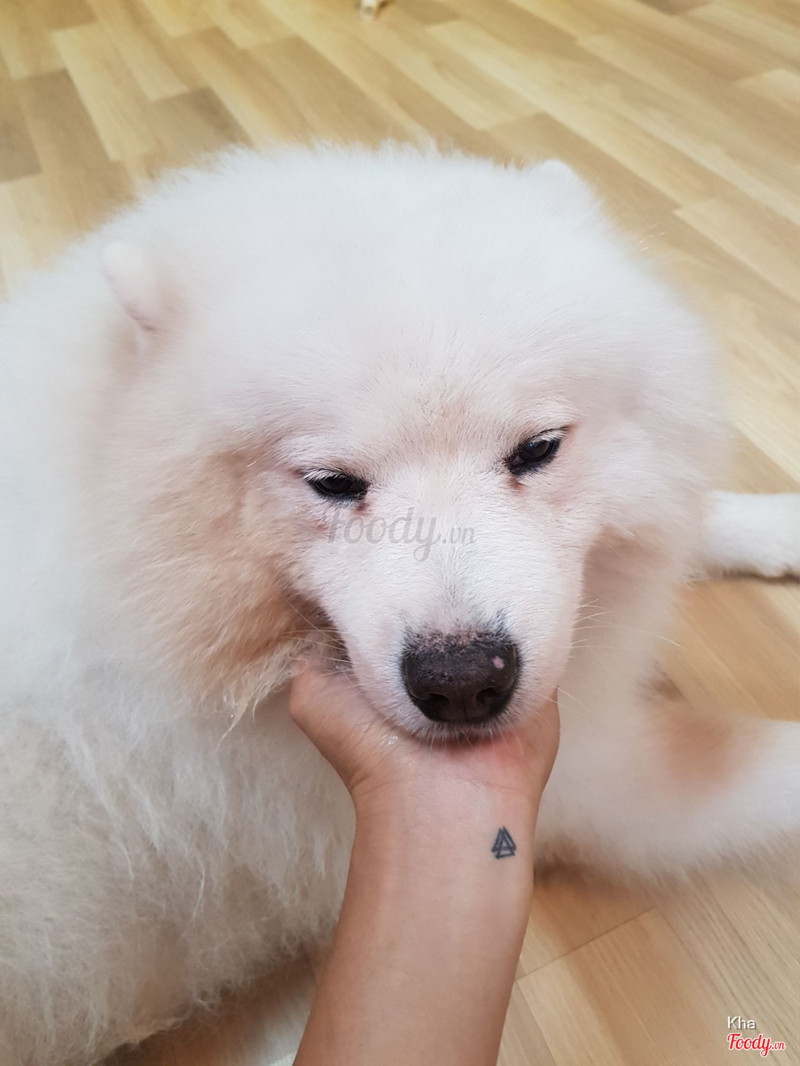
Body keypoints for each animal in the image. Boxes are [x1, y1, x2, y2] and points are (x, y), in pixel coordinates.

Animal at [1, 143, 798, 1065]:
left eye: (537, 450)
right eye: (332, 483)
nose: (462, 682)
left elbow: (699, 516)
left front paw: (778, 522)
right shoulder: (597, 786)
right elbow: (761, 763)